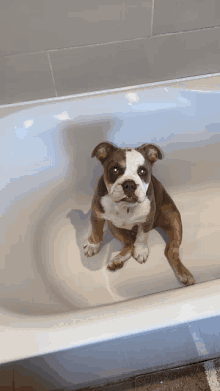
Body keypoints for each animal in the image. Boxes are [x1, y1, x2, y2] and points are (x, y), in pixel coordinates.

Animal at [83, 142, 195, 286]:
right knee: (129, 243)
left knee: (171, 251)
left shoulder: (146, 221)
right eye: (114, 170)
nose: (129, 184)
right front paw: (93, 245)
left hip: (174, 219)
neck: (126, 207)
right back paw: (118, 260)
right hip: (114, 227)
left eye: (142, 171)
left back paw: (183, 273)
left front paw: (141, 251)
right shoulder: (97, 215)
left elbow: (142, 237)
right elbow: (96, 231)